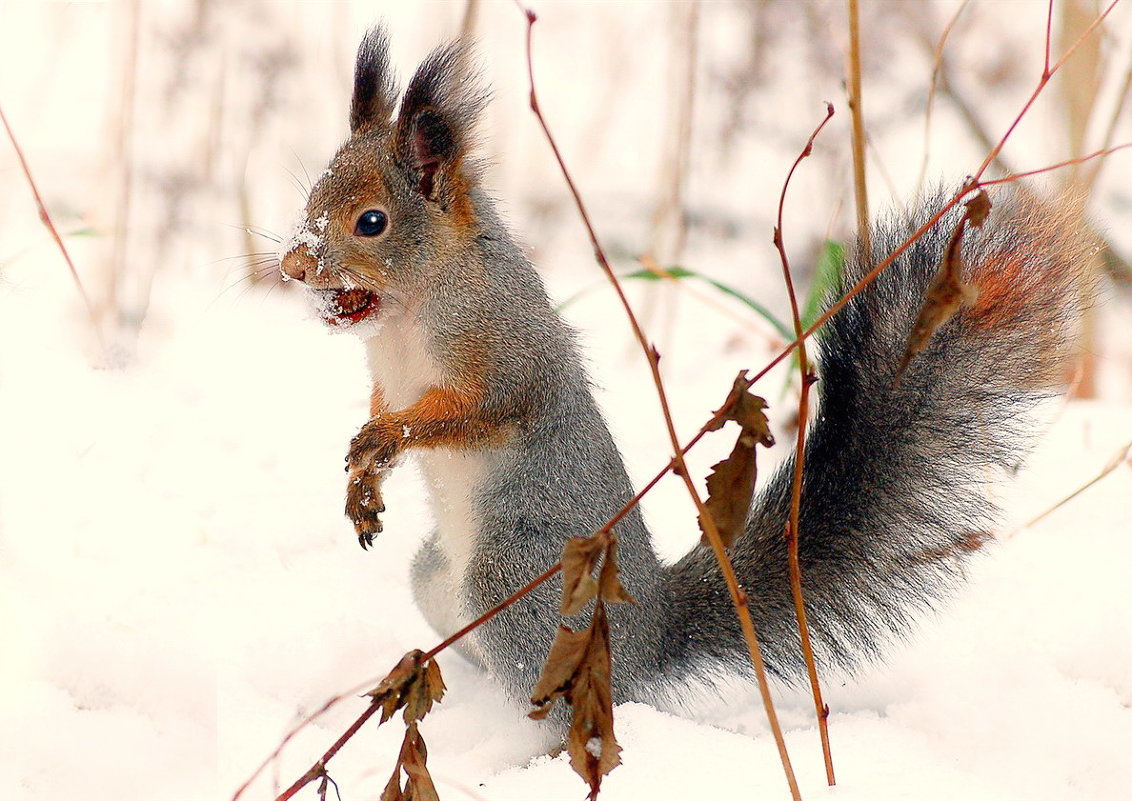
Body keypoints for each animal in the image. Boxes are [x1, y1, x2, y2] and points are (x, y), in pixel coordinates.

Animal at [276, 28, 1086, 715]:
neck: (408, 313)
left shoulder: (502, 350)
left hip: (515, 581)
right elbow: (382, 407)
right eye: (314, 195)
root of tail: (651, 635)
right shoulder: (389, 370)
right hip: (440, 581)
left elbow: (473, 410)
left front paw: (386, 438)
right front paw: (363, 484)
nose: (292, 266)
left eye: (371, 222)